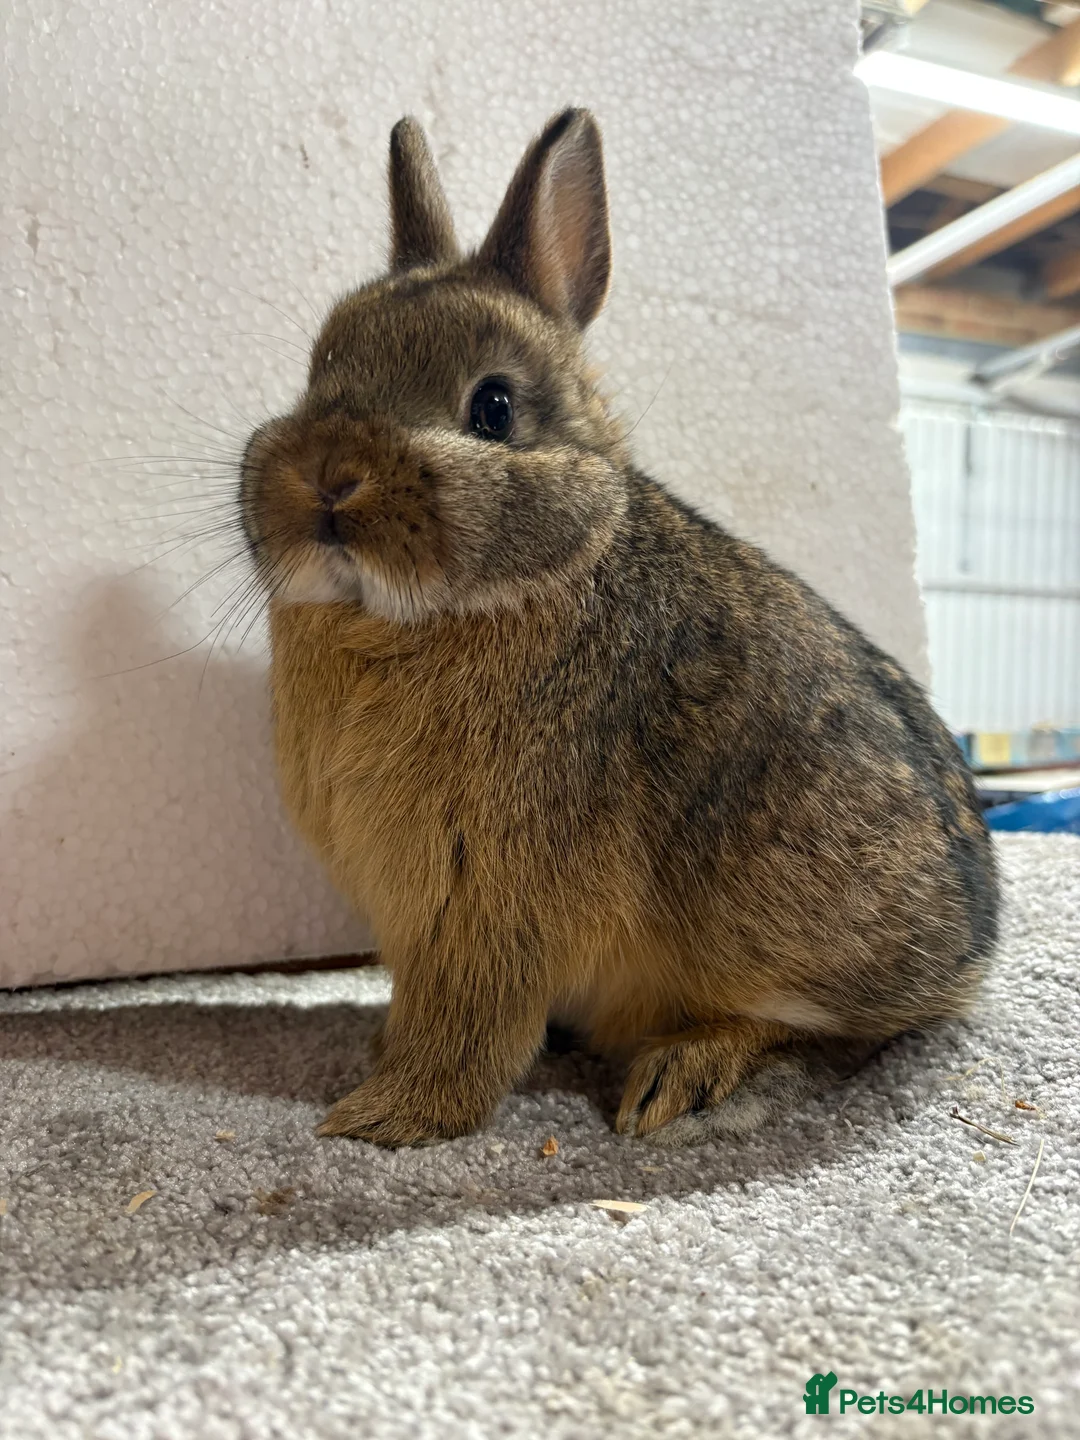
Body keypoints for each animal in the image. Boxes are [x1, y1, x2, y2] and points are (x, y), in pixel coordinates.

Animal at [238, 108, 999, 1148]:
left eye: (493, 407)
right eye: (318, 373)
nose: (328, 474)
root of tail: (973, 949)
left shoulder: (489, 898)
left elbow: (470, 1024)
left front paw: (384, 1117)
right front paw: (376, 1062)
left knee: (820, 1031)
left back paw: (678, 1074)